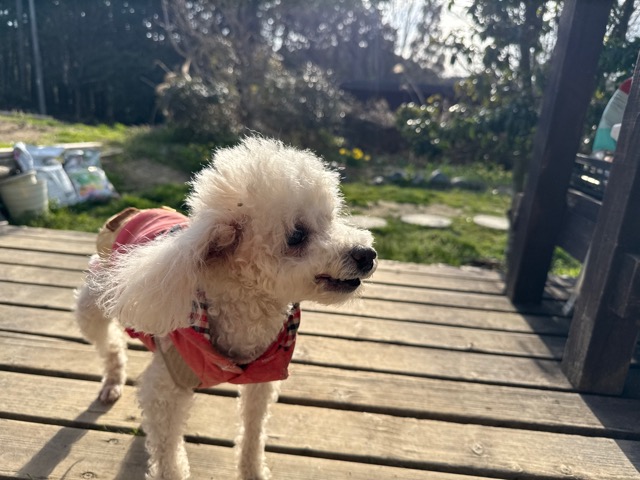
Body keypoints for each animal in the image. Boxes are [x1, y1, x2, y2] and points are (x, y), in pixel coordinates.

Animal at [75, 137, 377, 479]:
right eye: (297, 235)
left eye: (331, 218)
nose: (367, 254)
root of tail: (134, 212)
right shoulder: (165, 391)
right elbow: (167, 454)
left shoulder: (261, 383)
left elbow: (253, 433)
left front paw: (253, 471)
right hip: (91, 306)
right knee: (109, 345)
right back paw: (113, 381)